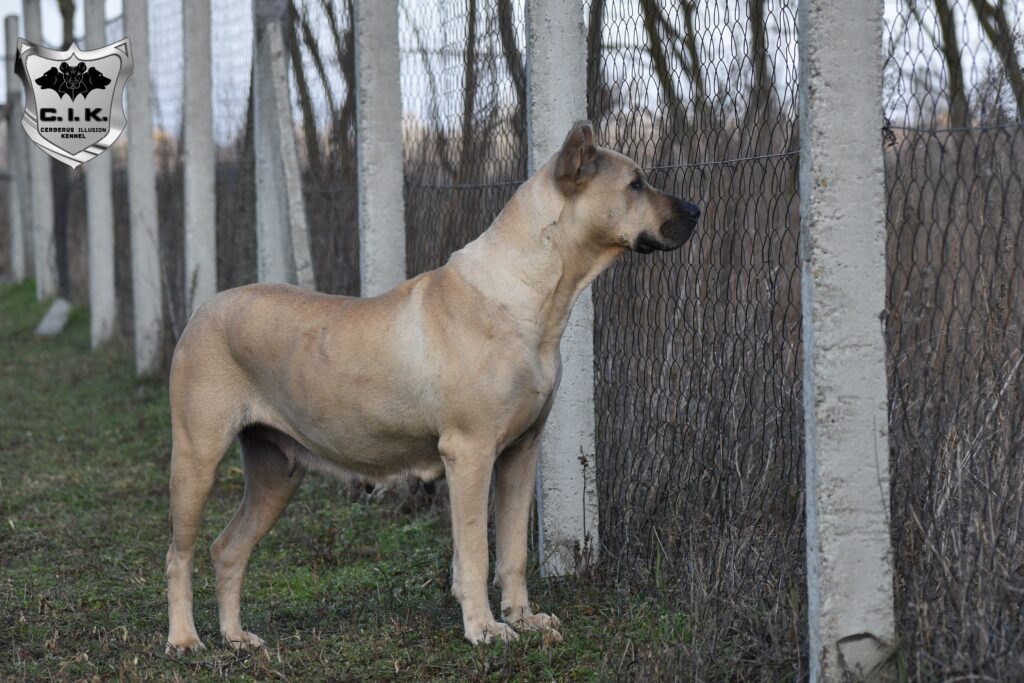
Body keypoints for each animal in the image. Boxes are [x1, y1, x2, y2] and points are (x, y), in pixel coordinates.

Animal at [163, 121, 700, 651]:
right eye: (636, 184)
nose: (697, 210)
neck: (534, 291)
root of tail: (203, 310)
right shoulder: (470, 453)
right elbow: (476, 552)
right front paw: (484, 629)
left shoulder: (520, 452)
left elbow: (513, 551)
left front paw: (524, 619)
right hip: (197, 457)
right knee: (179, 553)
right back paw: (185, 639)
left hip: (277, 471)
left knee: (227, 549)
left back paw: (235, 637)